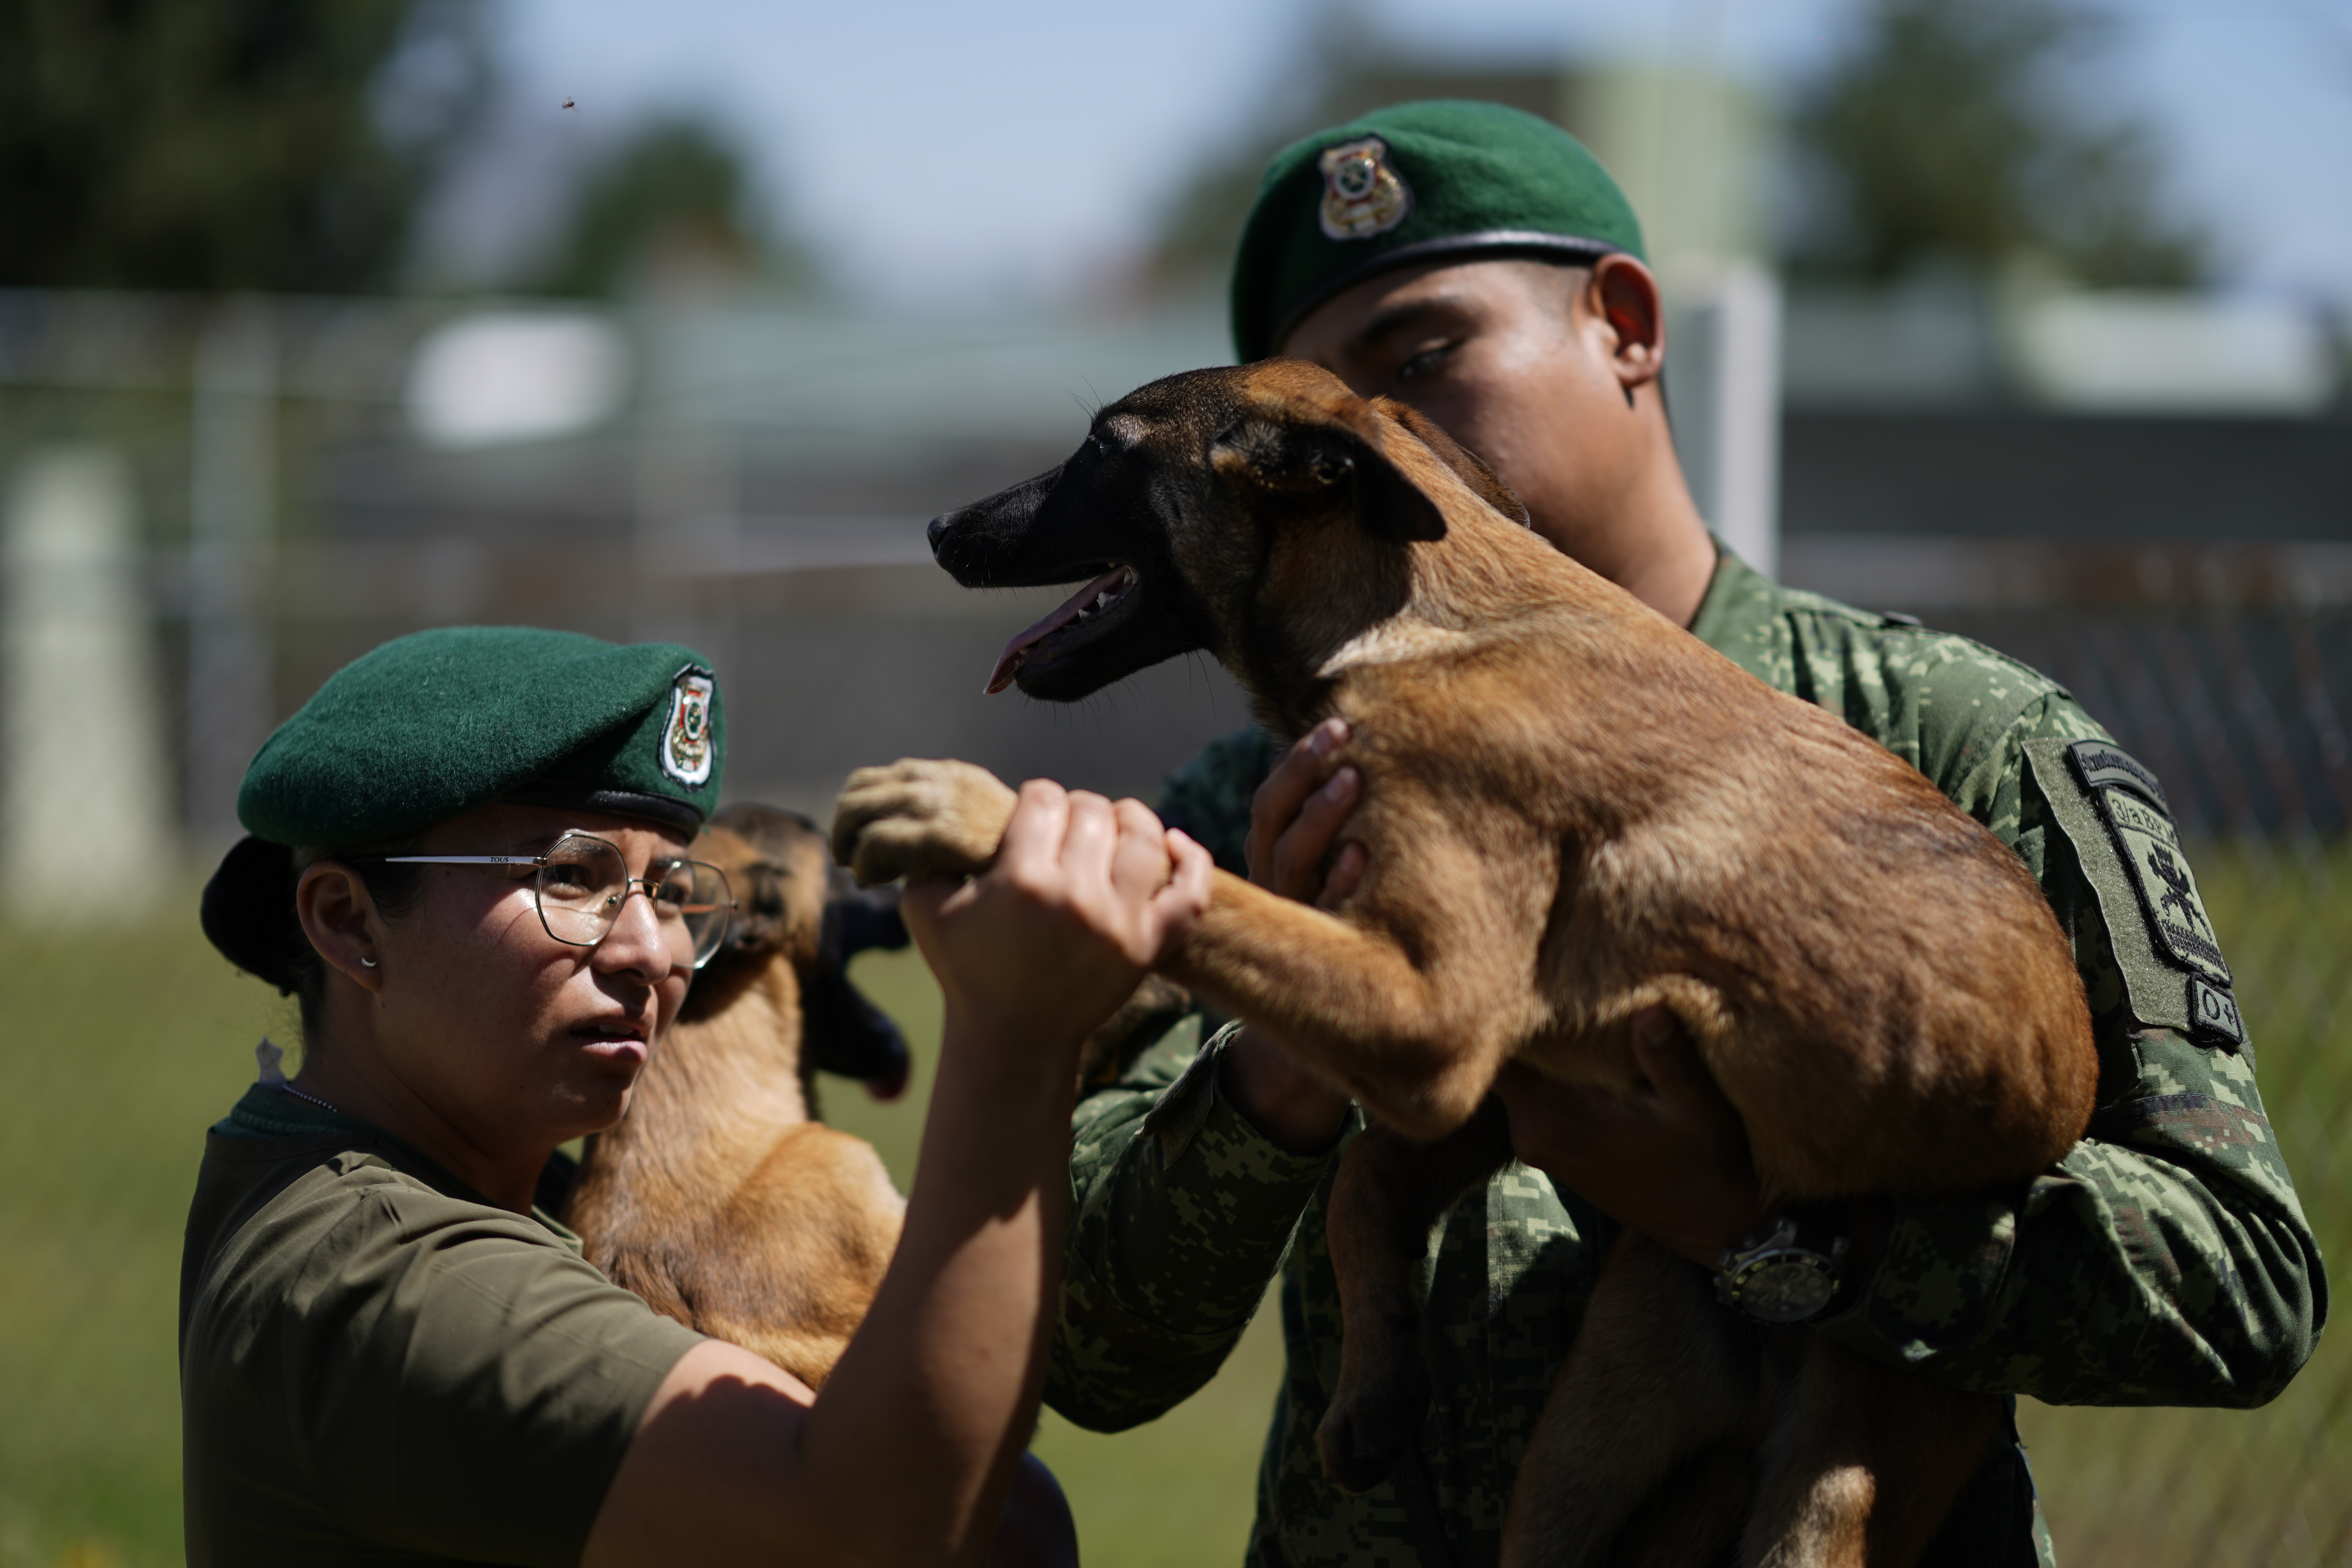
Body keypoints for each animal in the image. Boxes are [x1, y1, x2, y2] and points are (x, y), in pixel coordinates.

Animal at [828, 362, 2098, 1561]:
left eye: (1105, 447)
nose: (937, 528)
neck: (1423, 616)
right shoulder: (1508, 1070)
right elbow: (1343, 1146)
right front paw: (1376, 1381)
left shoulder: (1434, 1021)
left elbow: (1211, 894)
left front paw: (968, 808)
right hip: (1588, 1445)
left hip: (1835, 1487)